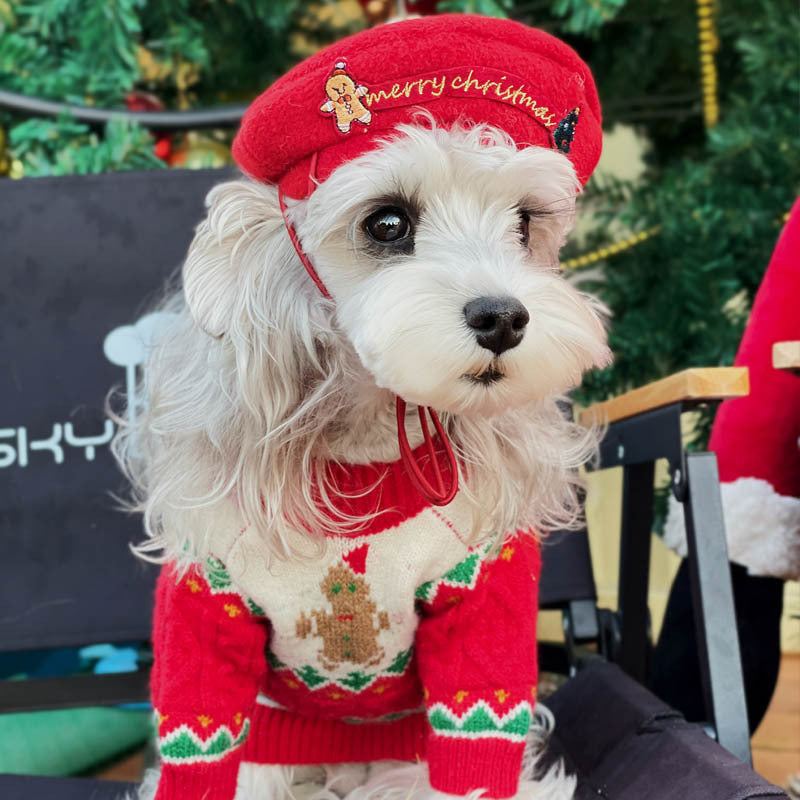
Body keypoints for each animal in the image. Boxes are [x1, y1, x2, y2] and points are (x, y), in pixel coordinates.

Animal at [115, 119, 608, 800]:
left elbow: (479, 725)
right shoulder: (209, 592)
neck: (370, 449)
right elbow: (202, 724)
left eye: (524, 222)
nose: (504, 318)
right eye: (388, 222)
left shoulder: (483, 590)